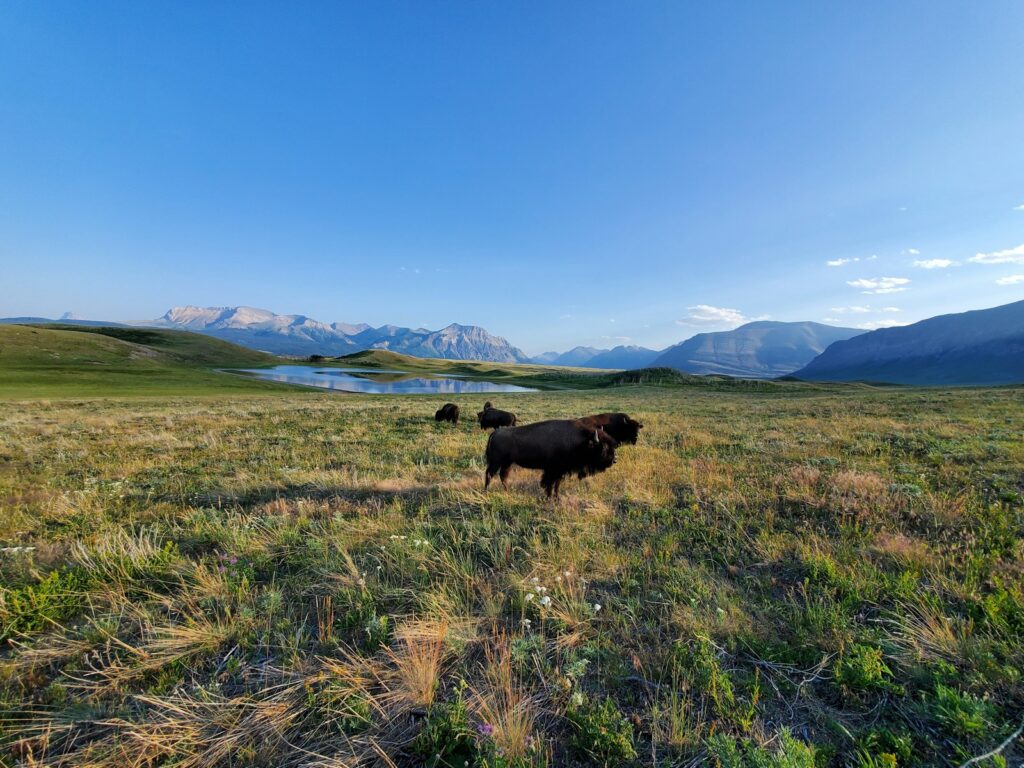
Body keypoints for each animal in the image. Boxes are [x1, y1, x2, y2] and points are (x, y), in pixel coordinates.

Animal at [484, 419, 619, 498]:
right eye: (603, 448)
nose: (614, 460)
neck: (580, 441)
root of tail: (495, 433)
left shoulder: (560, 471)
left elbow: (556, 485)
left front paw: (556, 498)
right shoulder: (552, 470)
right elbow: (549, 484)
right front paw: (549, 498)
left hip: (507, 463)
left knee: (503, 476)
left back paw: (507, 492)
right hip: (496, 462)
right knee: (489, 475)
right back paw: (486, 492)